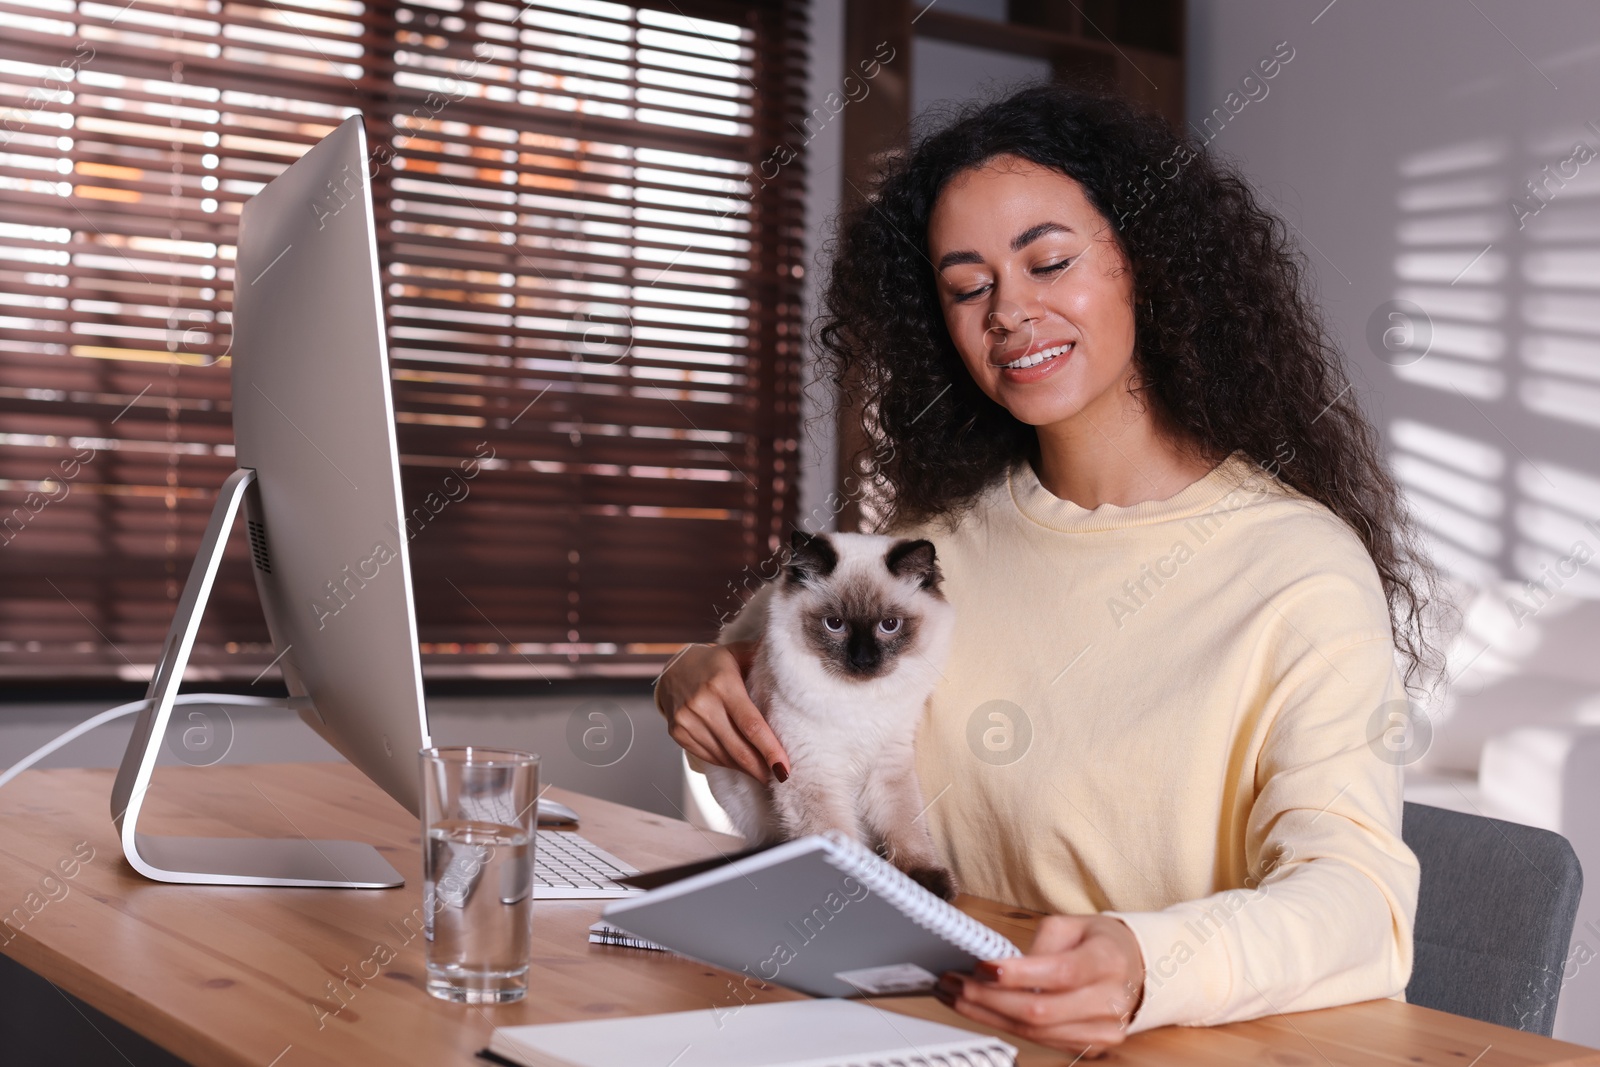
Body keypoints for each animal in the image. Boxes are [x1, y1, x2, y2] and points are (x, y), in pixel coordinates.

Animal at [707, 531, 953, 895]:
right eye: (834, 624)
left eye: (889, 625)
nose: (863, 660)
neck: (859, 703)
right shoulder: (812, 770)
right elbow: (835, 836)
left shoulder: (889, 762)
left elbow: (905, 824)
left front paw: (923, 884)